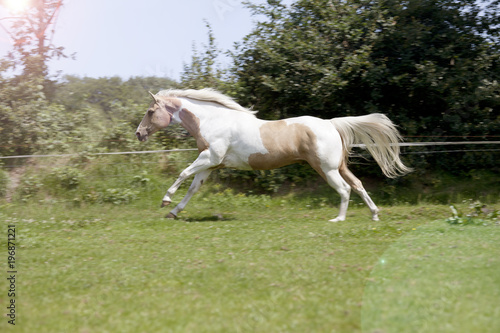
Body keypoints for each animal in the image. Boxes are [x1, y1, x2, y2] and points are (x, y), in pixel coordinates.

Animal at [135, 89, 412, 222]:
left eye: (150, 111)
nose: (138, 133)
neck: (213, 121)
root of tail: (331, 124)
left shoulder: (209, 158)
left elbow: (182, 173)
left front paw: (166, 201)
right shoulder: (211, 165)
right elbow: (193, 188)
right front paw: (173, 212)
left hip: (327, 169)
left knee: (344, 189)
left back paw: (339, 219)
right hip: (339, 167)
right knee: (358, 184)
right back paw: (374, 214)